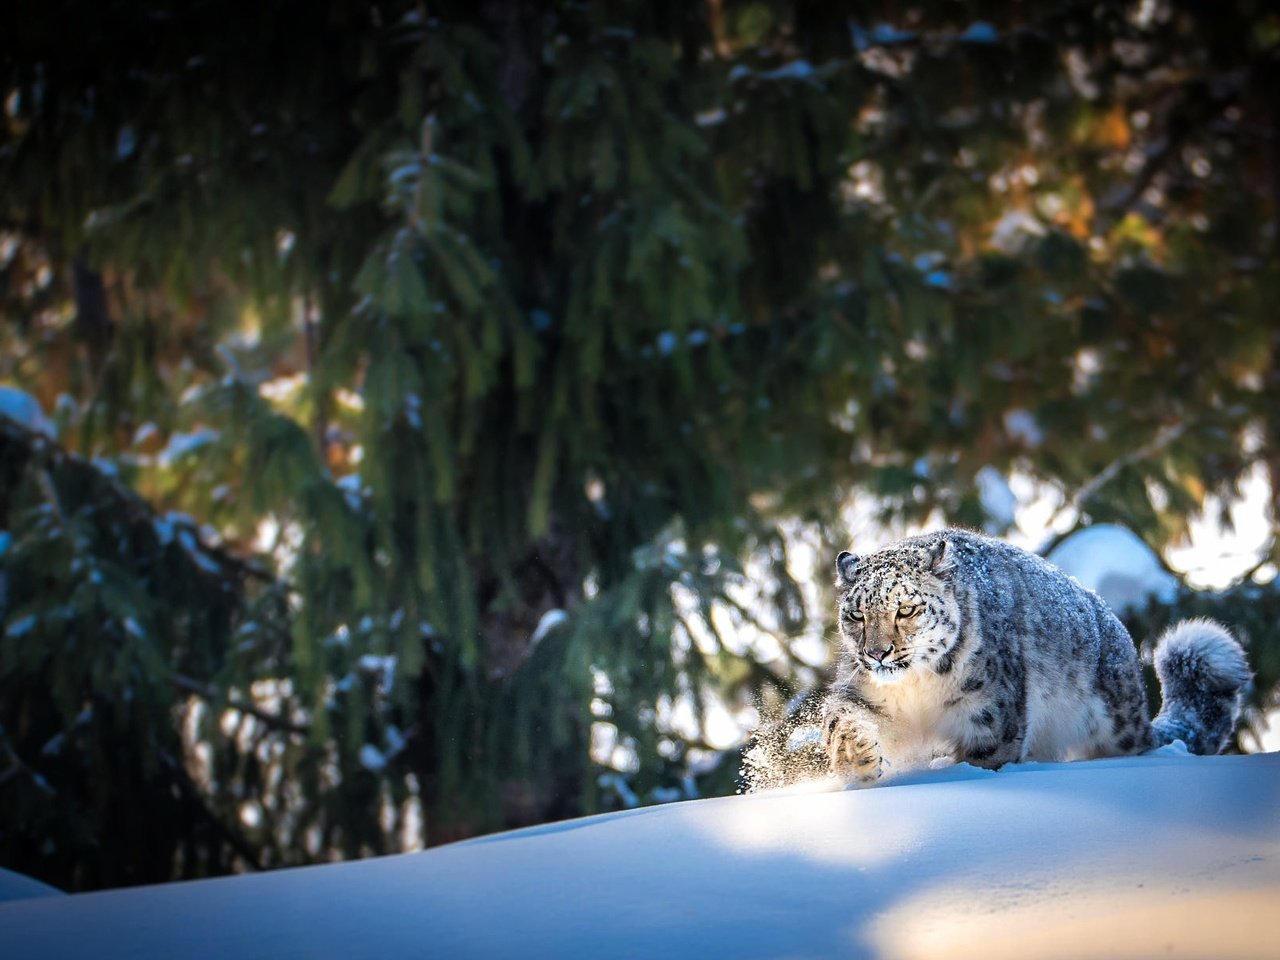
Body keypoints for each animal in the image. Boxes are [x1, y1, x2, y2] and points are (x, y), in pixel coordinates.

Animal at [819, 529, 1249, 783]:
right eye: (857, 615)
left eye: (906, 610)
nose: (877, 654)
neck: (917, 688)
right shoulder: (863, 693)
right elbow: (839, 717)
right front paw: (857, 754)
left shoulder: (988, 714)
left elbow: (986, 759)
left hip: (1115, 723)